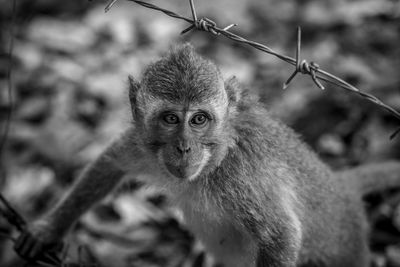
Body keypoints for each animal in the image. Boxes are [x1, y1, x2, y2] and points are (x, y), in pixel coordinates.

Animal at [14, 43, 400, 266]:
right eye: (171, 119)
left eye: (199, 119)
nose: (184, 146)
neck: (216, 158)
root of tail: (343, 187)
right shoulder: (142, 145)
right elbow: (109, 165)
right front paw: (49, 229)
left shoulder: (242, 179)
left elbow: (280, 236)